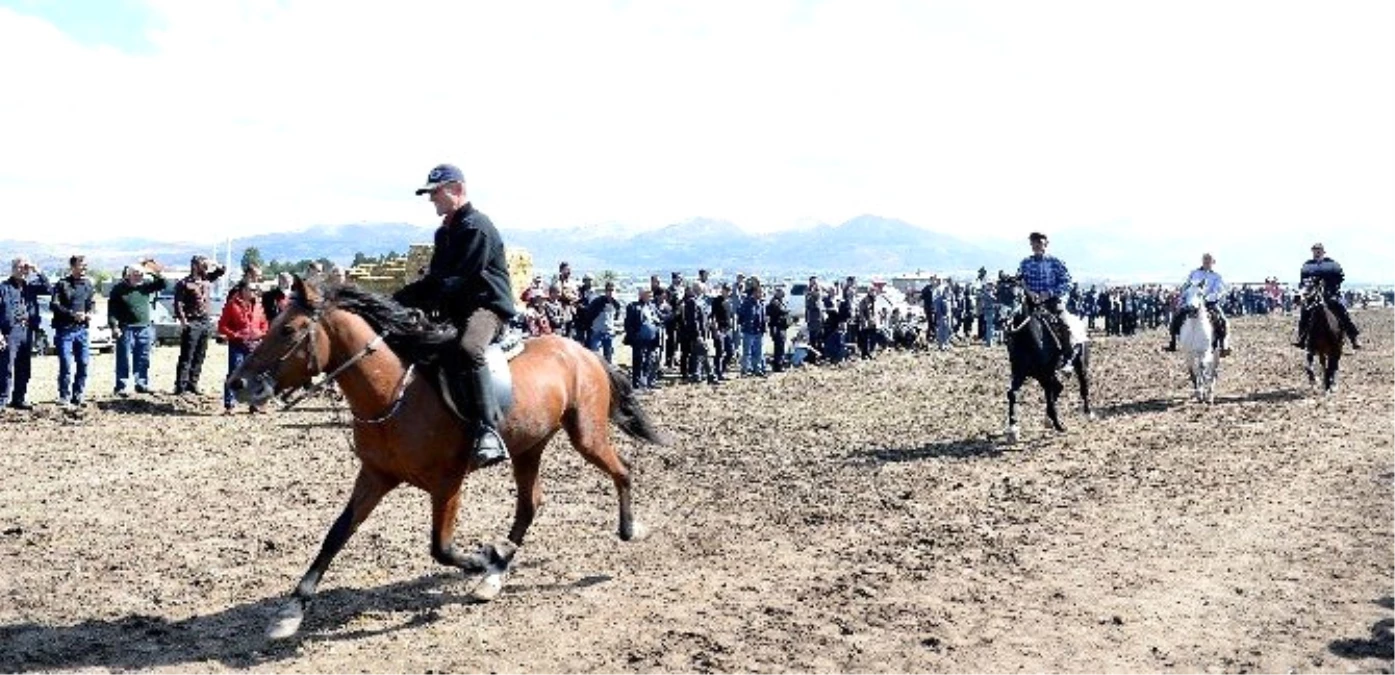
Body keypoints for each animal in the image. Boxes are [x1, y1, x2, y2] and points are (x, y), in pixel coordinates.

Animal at [225, 277, 666, 638]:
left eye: (288, 330)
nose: (238, 383)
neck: (393, 394)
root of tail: (582, 351)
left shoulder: (447, 483)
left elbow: (441, 547)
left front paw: (486, 556)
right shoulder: (375, 476)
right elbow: (336, 534)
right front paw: (291, 611)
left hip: (586, 434)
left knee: (621, 470)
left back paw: (629, 529)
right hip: (529, 446)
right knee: (529, 505)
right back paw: (495, 576)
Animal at [998, 276, 1093, 443]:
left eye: (1015, 296)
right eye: (997, 294)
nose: (1001, 319)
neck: (1029, 339)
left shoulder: (1047, 372)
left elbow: (1048, 396)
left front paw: (1059, 425)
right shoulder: (1019, 372)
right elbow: (1012, 393)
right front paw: (1013, 429)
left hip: (1080, 364)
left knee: (1083, 386)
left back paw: (1088, 413)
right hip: (1040, 375)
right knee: (1059, 387)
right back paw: (1047, 419)